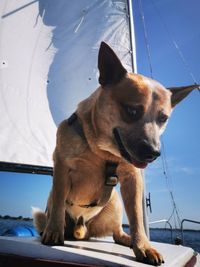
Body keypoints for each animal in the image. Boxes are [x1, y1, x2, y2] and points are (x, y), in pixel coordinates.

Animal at [33, 42, 198, 266]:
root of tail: (81, 229)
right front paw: (53, 232)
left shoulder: (132, 179)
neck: (101, 152)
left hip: (115, 203)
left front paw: (143, 246)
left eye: (163, 118)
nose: (153, 153)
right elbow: (59, 200)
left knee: (117, 231)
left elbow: (137, 217)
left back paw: (128, 239)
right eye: (132, 111)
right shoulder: (62, 167)